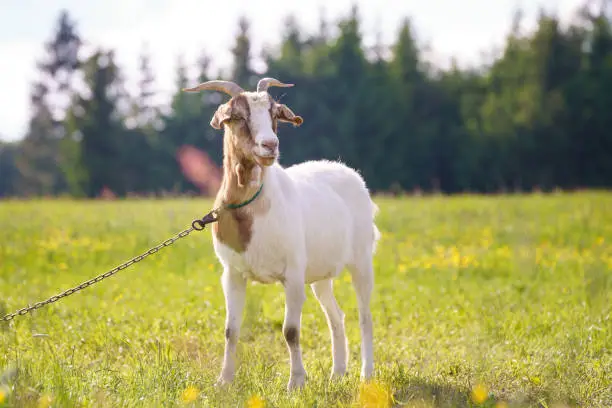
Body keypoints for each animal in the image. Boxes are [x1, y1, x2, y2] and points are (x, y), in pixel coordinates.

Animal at [184, 77, 380, 392]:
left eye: (275, 114)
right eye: (237, 116)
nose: (270, 145)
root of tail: (349, 173)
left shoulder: (293, 274)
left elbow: (290, 331)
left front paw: (296, 382)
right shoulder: (232, 273)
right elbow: (231, 330)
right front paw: (224, 381)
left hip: (361, 261)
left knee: (365, 316)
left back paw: (367, 375)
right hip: (321, 274)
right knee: (336, 316)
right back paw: (337, 372)